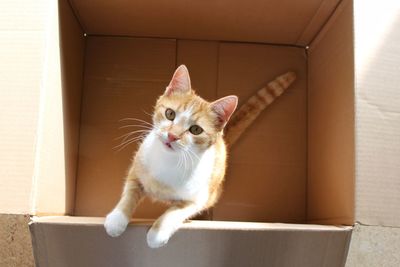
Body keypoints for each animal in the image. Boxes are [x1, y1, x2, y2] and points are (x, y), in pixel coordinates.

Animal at [104, 65, 296, 249]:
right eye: (170, 114)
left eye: (195, 129)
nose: (172, 136)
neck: (169, 161)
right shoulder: (137, 169)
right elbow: (129, 193)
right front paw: (116, 219)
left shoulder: (197, 199)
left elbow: (174, 212)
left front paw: (157, 234)